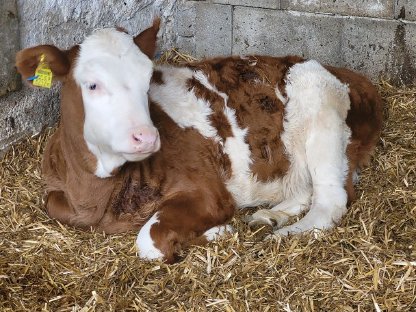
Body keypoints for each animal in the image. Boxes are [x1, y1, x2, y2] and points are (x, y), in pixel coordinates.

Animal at [16, 20, 384, 264]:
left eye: (147, 79)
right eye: (92, 85)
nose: (147, 136)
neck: (94, 194)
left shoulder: (209, 192)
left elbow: (150, 241)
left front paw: (216, 233)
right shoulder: (58, 190)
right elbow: (53, 205)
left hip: (325, 124)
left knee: (331, 201)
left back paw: (285, 234)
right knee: (303, 189)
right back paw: (270, 216)